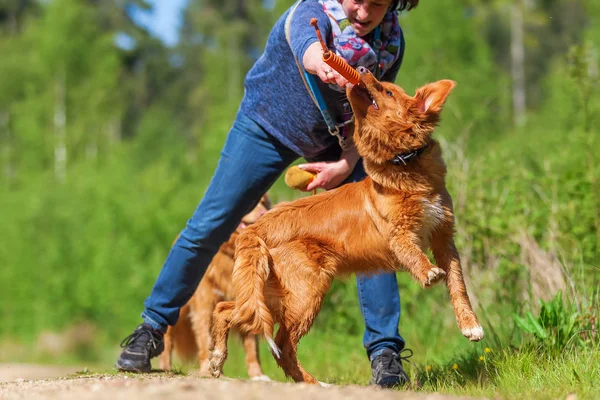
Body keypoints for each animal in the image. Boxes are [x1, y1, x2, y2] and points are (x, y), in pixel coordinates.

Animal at [159, 195, 272, 380]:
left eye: (263, 202)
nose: (264, 212)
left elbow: (251, 348)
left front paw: (257, 374)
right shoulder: (204, 307)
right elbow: (205, 340)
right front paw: (206, 369)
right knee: (167, 338)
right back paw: (165, 366)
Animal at [210, 72, 482, 384]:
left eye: (388, 91)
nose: (362, 70)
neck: (405, 165)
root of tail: (258, 226)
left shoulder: (444, 237)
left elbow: (458, 285)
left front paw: (470, 324)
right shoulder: (397, 234)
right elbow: (412, 253)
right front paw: (428, 272)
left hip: (271, 293)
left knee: (227, 310)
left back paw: (218, 359)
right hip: (304, 293)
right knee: (281, 345)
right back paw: (313, 383)